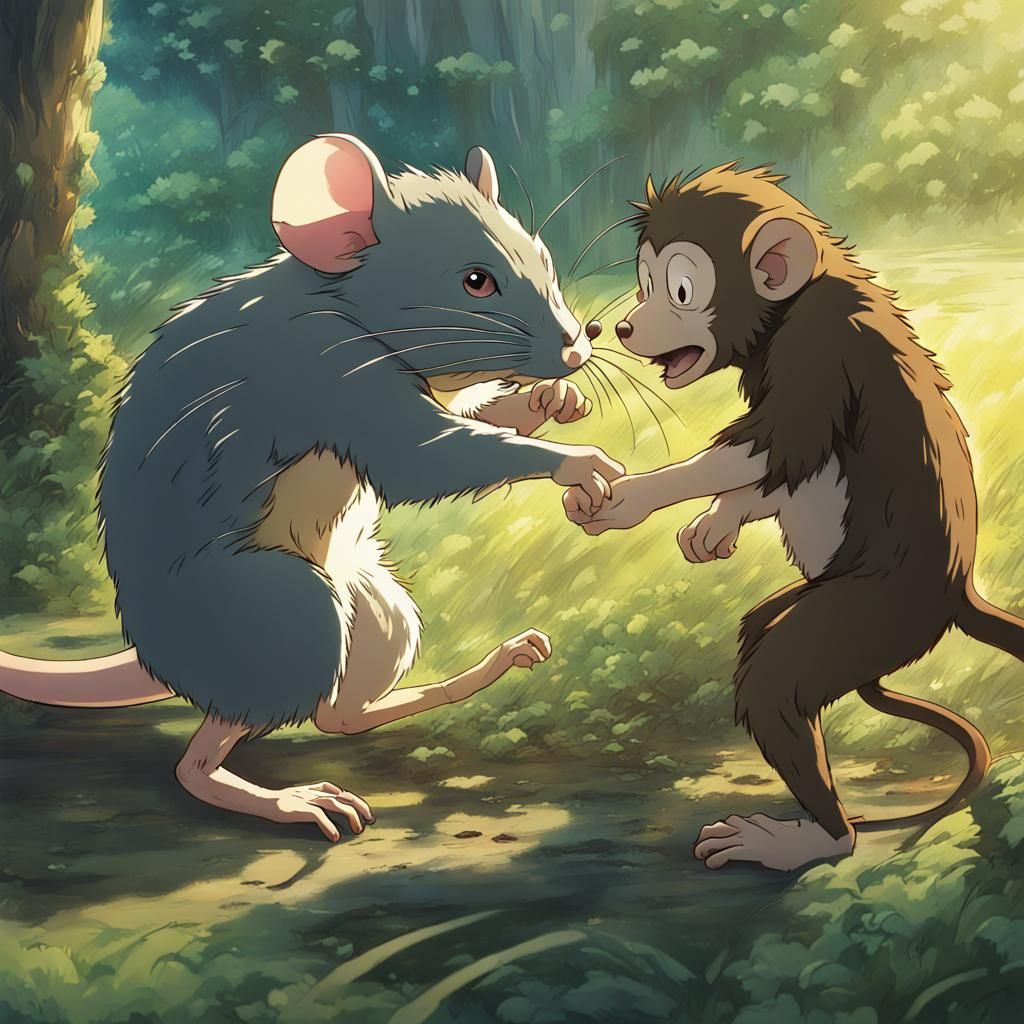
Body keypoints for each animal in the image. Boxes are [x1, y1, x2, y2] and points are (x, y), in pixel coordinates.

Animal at [563, 163, 1024, 871]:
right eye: (642, 282)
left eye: (680, 289)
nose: (621, 329)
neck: (787, 311)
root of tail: (958, 591)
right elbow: (772, 471)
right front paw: (716, 523)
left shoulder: (820, 349)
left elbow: (771, 446)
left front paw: (626, 499)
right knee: (762, 629)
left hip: (876, 613)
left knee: (777, 679)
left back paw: (813, 838)